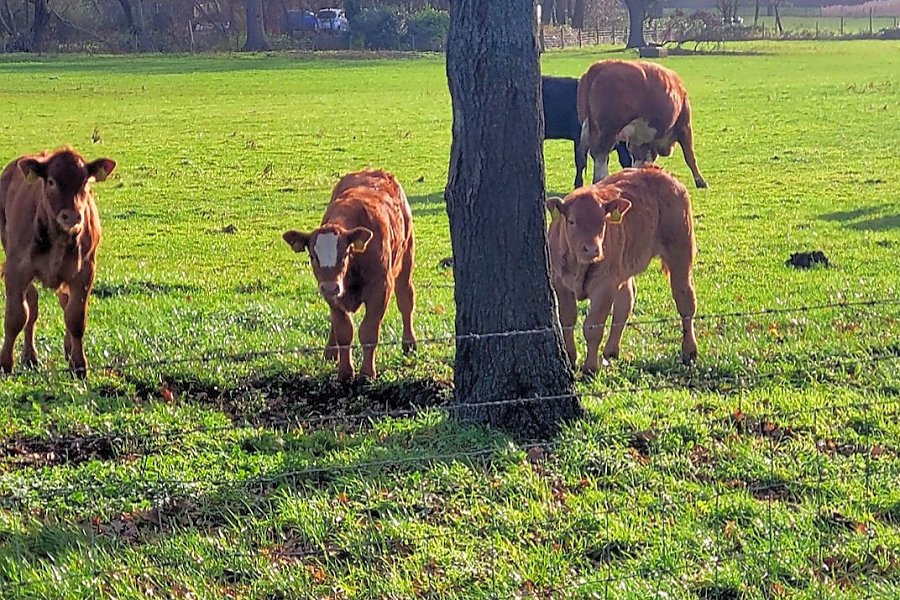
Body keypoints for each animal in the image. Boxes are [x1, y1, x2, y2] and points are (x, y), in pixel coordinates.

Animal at [0, 147, 116, 378]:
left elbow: (75, 318)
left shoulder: (85, 272)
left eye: (85, 181)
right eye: (51, 181)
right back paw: (30, 355)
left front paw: (79, 365)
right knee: (32, 304)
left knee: (63, 303)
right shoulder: (16, 269)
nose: (72, 216)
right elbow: (16, 317)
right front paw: (5, 364)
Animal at [284, 169, 416, 382]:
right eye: (312, 256)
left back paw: (409, 343)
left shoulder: (381, 286)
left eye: (344, 254)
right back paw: (330, 352)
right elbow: (344, 331)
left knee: (406, 300)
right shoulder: (332, 294)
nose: (330, 287)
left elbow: (369, 331)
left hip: (406, 258)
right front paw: (345, 372)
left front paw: (367, 373)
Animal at [544, 166, 700, 372]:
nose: (592, 249)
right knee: (626, 302)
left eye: (603, 221)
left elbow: (593, 327)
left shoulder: (605, 286)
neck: (580, 265)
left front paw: (590, 368)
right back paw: (611, 351)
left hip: (681, 253)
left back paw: (689, 351)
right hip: (625, 268)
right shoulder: (560, 283)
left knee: (685, 301)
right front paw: (570, 358)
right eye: (572, 221)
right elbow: (568, 322)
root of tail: (657, 171)